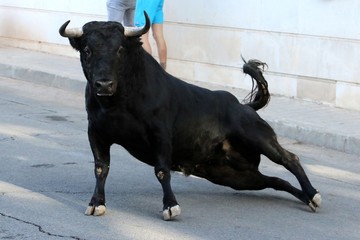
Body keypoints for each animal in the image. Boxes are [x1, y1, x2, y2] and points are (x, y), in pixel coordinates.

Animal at [59, 12, 320, 220]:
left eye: (120, 49)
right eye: (87, 50)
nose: (104, 84)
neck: (117, 103)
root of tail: (243, 106)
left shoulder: (160, 135)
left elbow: (162, 170)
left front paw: (171, 206)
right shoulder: (97, 133)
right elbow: (101, 168)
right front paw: (96, 203)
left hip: (256, 136)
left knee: (289, 159)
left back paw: (314, 194)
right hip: (234, 176)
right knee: (274, 181)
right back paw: (306, 198)